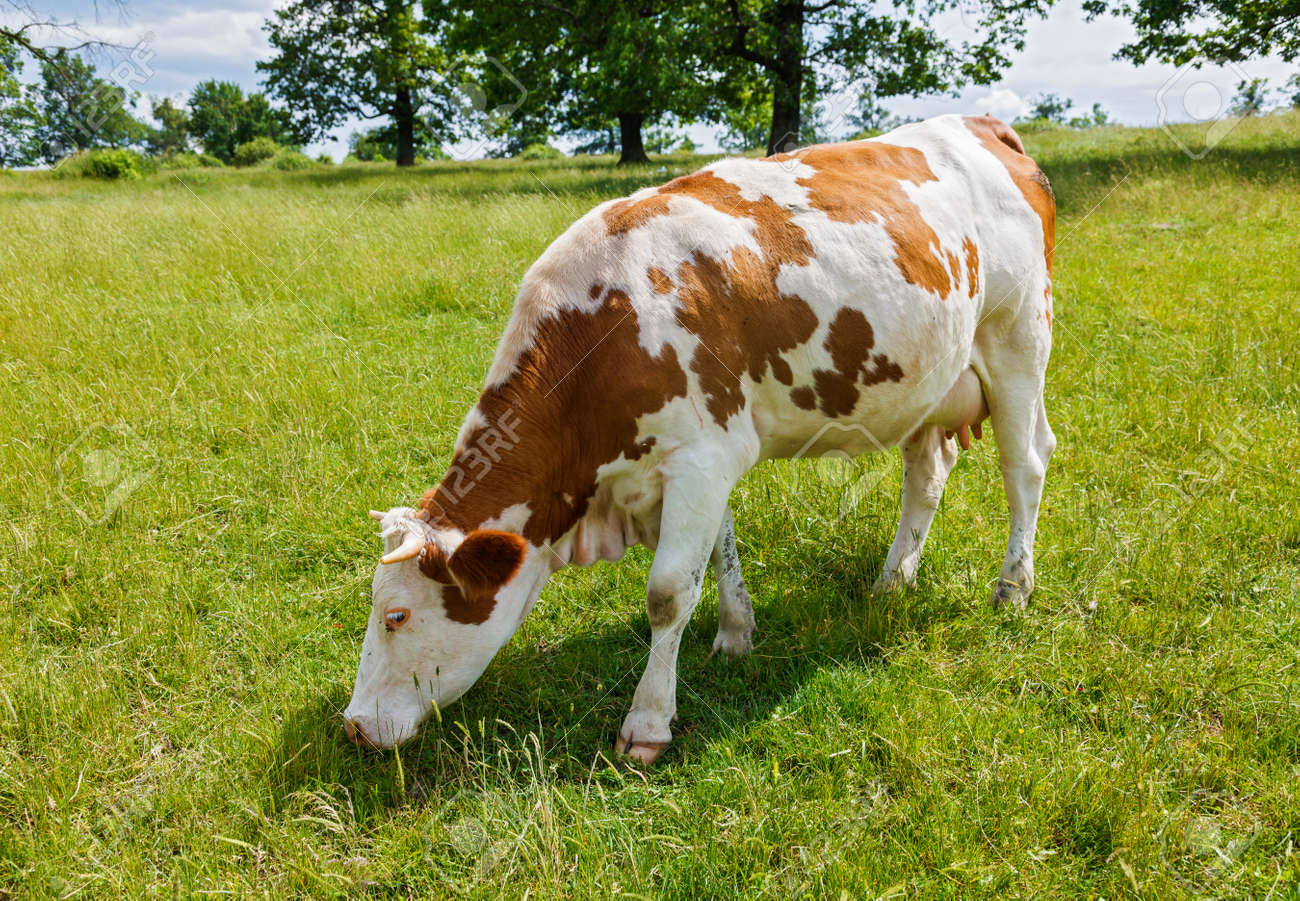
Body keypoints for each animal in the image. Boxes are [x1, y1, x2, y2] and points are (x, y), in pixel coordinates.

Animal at [343, 114, 1056, 764]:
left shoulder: (702, 459)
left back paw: (1012, 589)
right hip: (929, 381)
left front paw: (648, 723)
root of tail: (979, 122)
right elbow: (719, 551)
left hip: (1020, 338)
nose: (353, 727)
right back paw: (892, 581)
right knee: (927, 472)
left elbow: (667, 593)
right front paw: (737, 634)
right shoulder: (699, 460)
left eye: (396, 615)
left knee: (1025, 464)